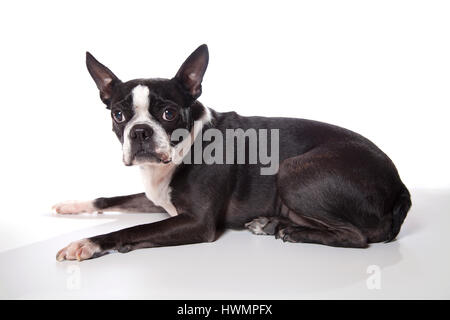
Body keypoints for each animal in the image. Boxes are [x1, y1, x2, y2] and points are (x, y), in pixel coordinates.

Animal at [53, 44, 412, 260]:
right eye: (118, 114)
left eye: (168, 113)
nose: (139, 131)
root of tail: (399, 186)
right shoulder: (157, 200)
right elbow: (110, 199)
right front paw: (71, 205)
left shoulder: (197, 222)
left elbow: (131, 230)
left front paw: (87, 243)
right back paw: (270, 223)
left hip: (293, 169)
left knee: (357, 236)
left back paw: (291, 231)